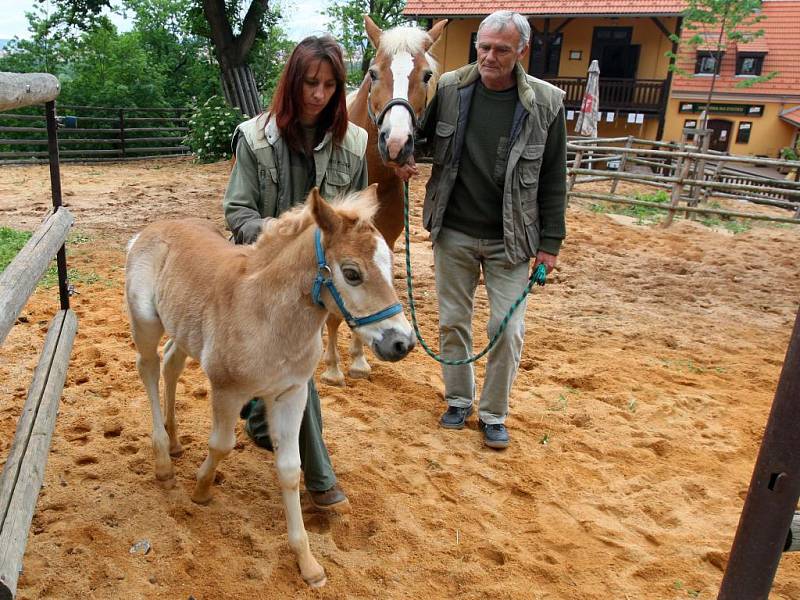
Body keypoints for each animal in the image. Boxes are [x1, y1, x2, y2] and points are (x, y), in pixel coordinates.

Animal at [126, 186, 416, 584]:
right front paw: (201, 489)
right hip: (146, 324)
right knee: (150, 369)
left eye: (390, 265)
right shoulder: (227, 389)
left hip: (183, 331)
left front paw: (307, 563)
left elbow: (290, 469)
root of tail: (149, 230)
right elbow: (221, 445)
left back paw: (174, 442)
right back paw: (163, 464)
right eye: (352, 273)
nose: (402, 343)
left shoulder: (290, 393)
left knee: (171, 365)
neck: (265, 315)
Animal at [320, 17, 446, 390]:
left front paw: (359, 360)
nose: (396, 143)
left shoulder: (383, 241)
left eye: (426, 75)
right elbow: (335, 309)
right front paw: (332, 368)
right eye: (373, 73)